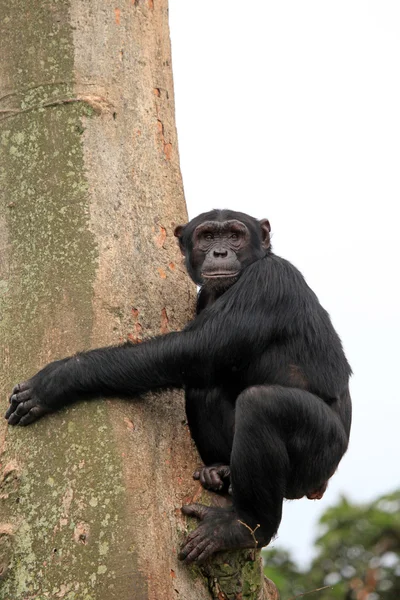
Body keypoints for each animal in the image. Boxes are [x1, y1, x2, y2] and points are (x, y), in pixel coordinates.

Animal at [5, 210, 350, 564]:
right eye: (207, 237)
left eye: (235, 235)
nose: (220, 252)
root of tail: (320, 486)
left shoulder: (266, 282)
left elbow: (195, 350)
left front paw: (58, 379)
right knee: (205, 389)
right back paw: (220, 471)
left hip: (321, 455)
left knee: (262, 405)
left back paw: (242, 527)